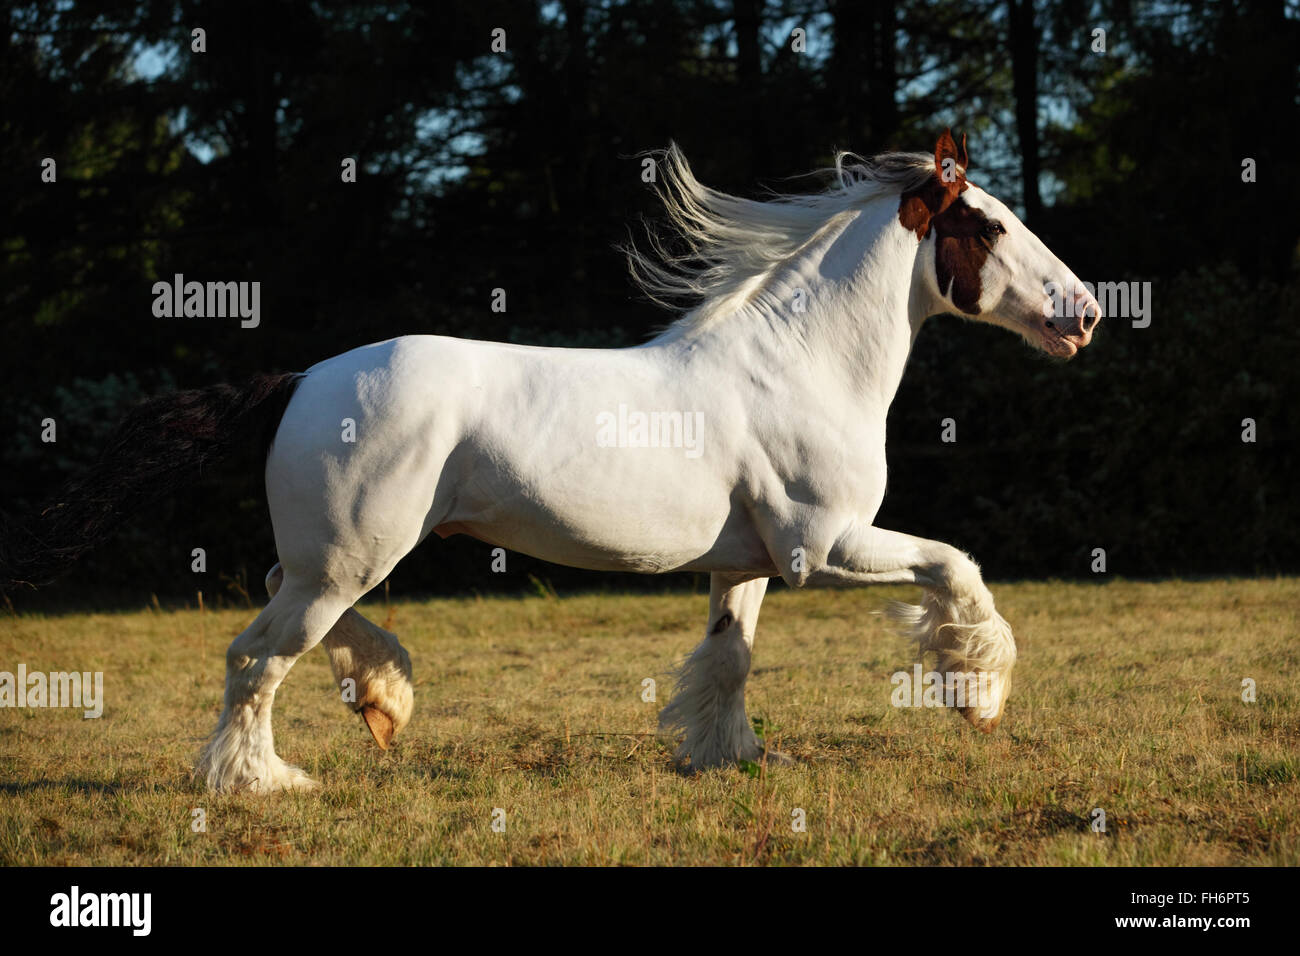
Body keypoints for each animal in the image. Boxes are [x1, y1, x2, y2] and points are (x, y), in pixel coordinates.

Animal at [2, 131, 1101, 792]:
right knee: (255, 654)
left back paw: (384, 700)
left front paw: (728, 757)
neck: (796, 363)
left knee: (281, 609)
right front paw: (977, 695)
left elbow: (729, 657)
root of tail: (301, 379)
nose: (1085, 313)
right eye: (989, 224)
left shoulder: (745, 562)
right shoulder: (821, 545)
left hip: (336, 558)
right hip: (351, 557)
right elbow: (957, 569)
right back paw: (261, 780)